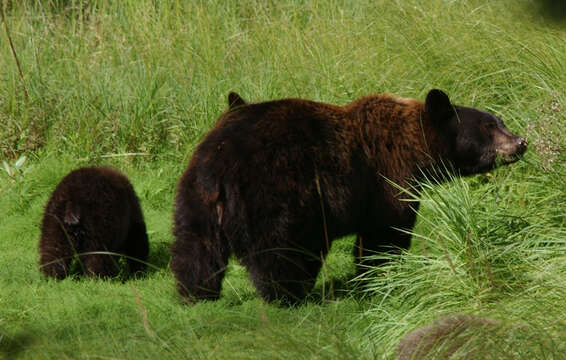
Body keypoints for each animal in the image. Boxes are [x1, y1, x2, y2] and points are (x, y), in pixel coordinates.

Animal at [172, 90, 528, 304]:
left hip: (195, 197)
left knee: (195, 248)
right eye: (489, 126)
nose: (521, 142)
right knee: (280, 250)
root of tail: (222, 163)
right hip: (277, 193)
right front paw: (380, 273)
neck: (414, 150)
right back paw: (288, 294)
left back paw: (196, 292)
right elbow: (384, 233)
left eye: (500, 121)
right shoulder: (386, 181)